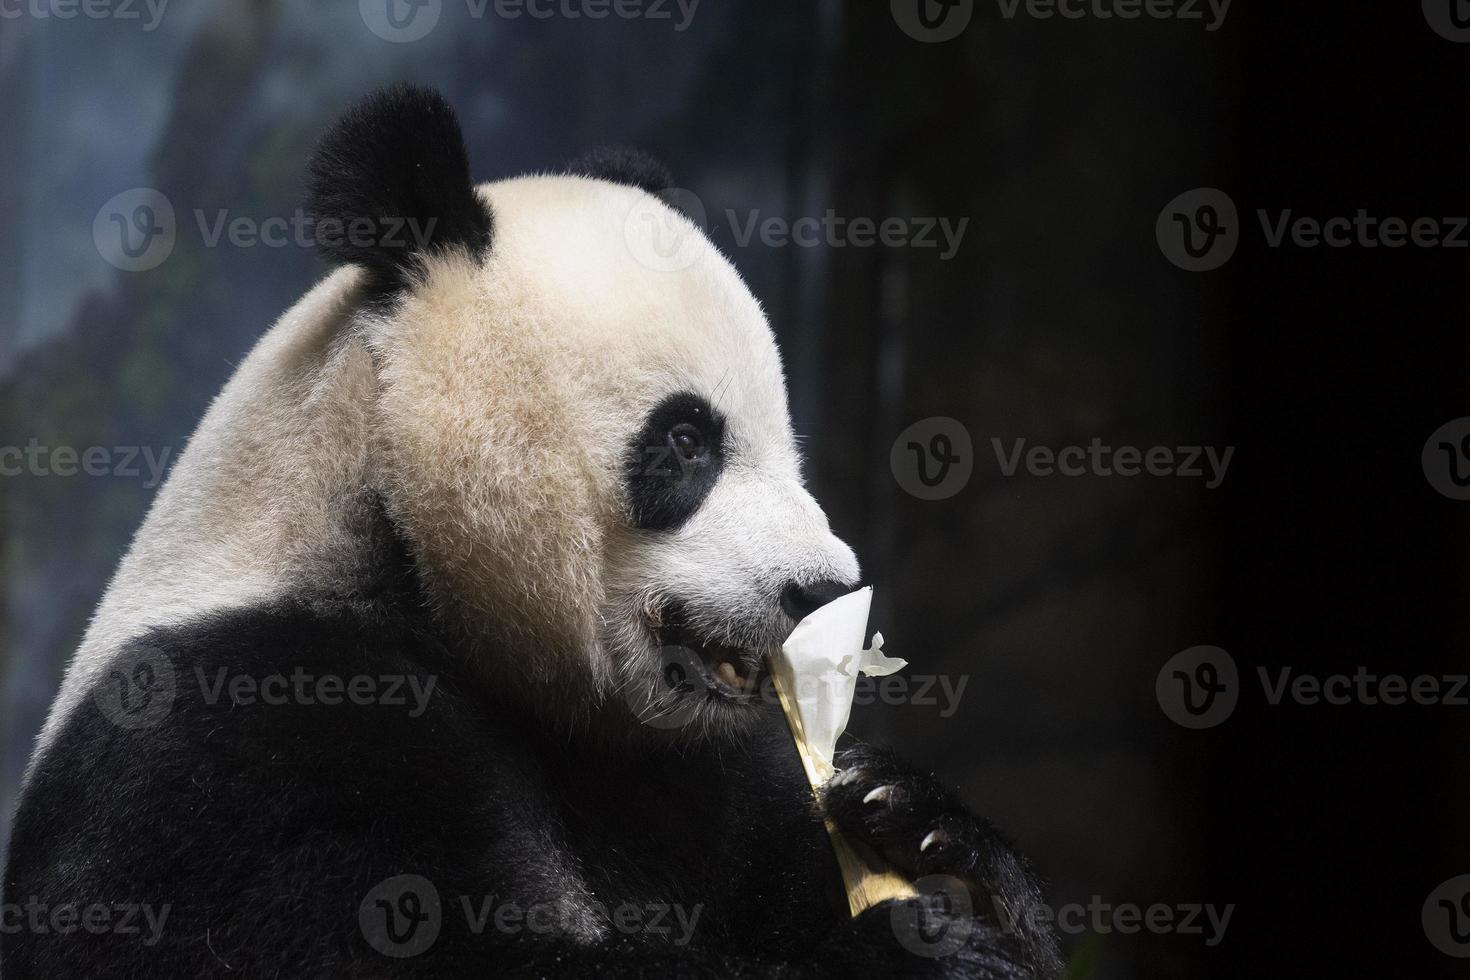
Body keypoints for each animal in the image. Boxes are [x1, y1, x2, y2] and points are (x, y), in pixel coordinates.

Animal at [0, 86, 1058, 980]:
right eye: (686, 441)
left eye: (787, 446)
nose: (823, 588)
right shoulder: (241, 734)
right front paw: (908, 953)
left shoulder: (697, 771)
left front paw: (926, 829)